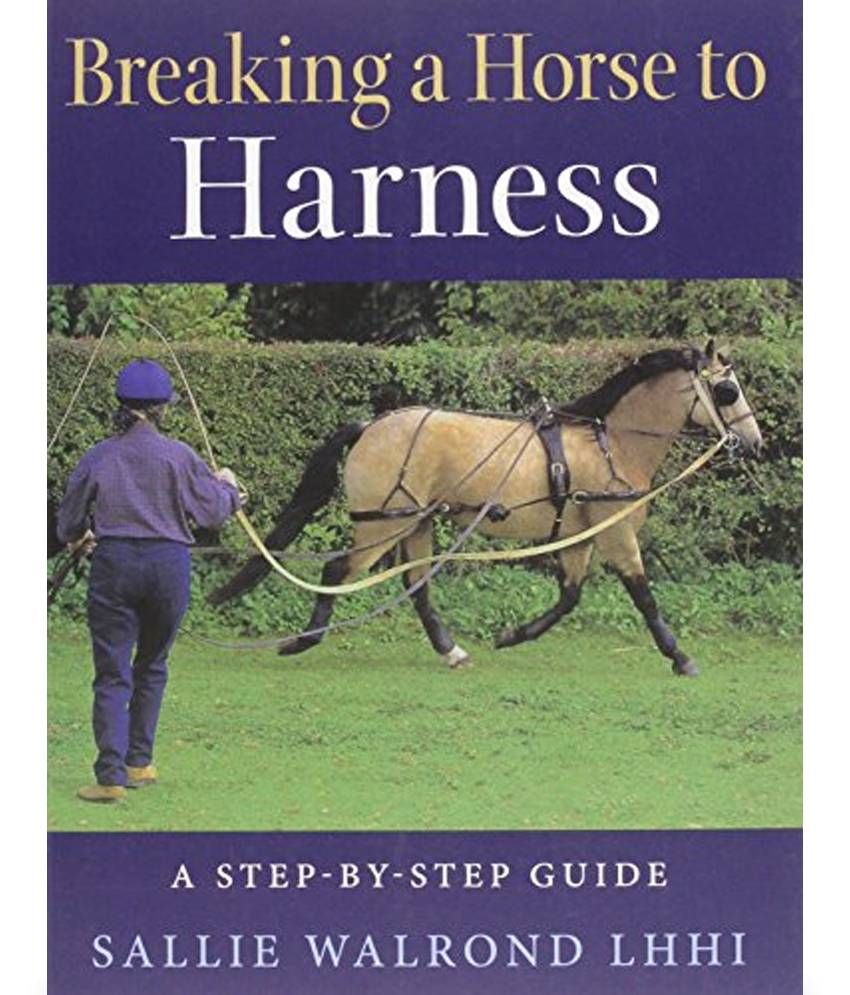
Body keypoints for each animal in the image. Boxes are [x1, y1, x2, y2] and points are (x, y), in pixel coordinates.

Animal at [209, 340, 763, 676]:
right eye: (726, 389)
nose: (755, 442)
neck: (613, 445)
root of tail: (371, 425)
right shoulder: (615, 531)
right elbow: (644, 596)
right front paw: (680, 656)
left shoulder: (579, 535)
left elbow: (568, 597)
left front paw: (513, 635)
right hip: (384, 526)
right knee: (338, 570)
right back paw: (304, 639)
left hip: (417, 524)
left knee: (417, 586)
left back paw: (450, 649)